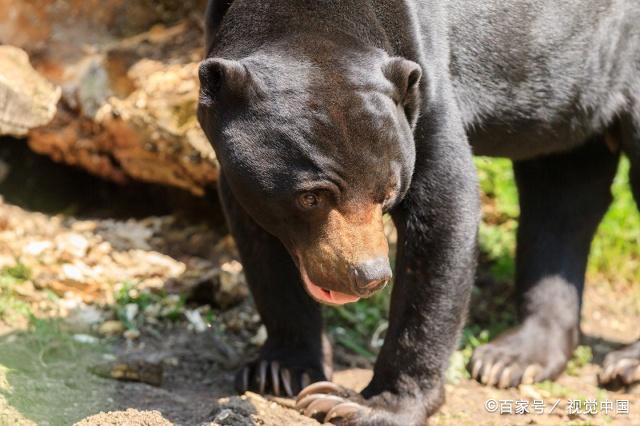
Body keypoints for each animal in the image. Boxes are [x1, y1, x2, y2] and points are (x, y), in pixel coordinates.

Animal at [196, 0, 640, 426]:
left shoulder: (424, 88)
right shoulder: (238, 167)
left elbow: (444, 213)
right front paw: (281, 371)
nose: (369, 276)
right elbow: (257, 235)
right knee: (561, 199)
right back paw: (514, 357)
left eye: (388, 193)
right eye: (311, 197)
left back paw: (619, 363)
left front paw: (358, 404)